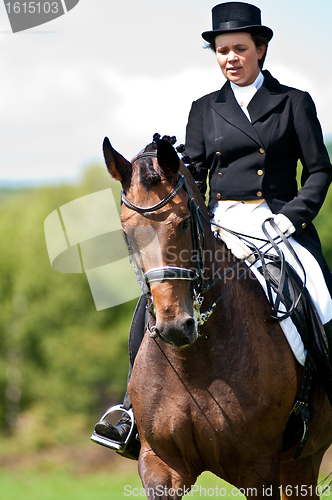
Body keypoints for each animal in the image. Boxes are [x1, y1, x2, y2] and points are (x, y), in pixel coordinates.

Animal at [103, 134, 332, 500]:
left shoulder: (258, 471)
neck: (193, 363)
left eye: (184, 222)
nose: (174, 327)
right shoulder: (161, 465)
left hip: (303, 459)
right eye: (127, 233)